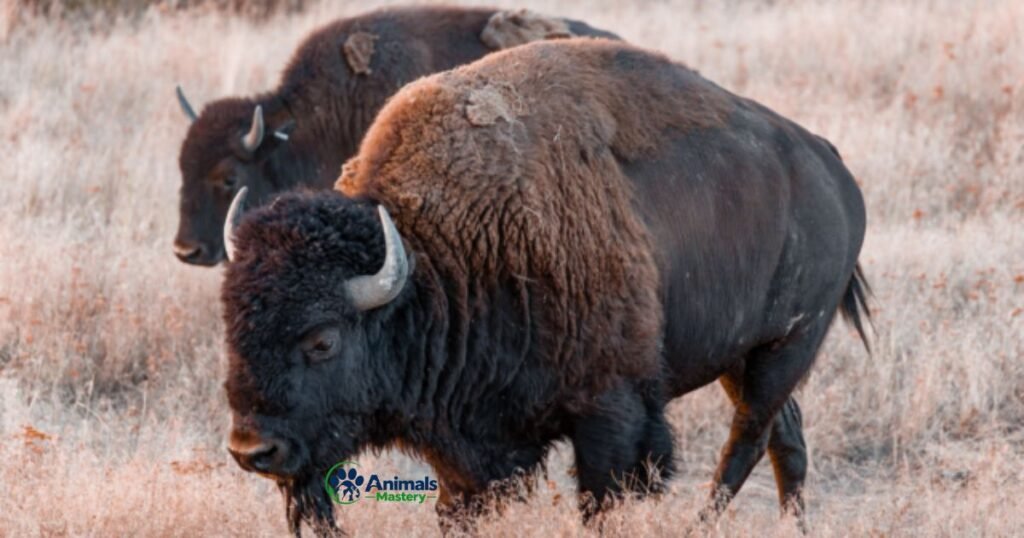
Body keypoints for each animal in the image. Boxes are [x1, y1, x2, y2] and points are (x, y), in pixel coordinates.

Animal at [220, 39, 870, 535]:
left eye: (322, 340)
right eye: (232, 329)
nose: (253, 451)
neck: (438, 257)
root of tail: (832, 166)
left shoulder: (613, 412)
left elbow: (604, 499)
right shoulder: (470, 449)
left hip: (787, 346)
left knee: (748, 438)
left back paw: (703, 524)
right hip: (742, 356)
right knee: (786, 437)